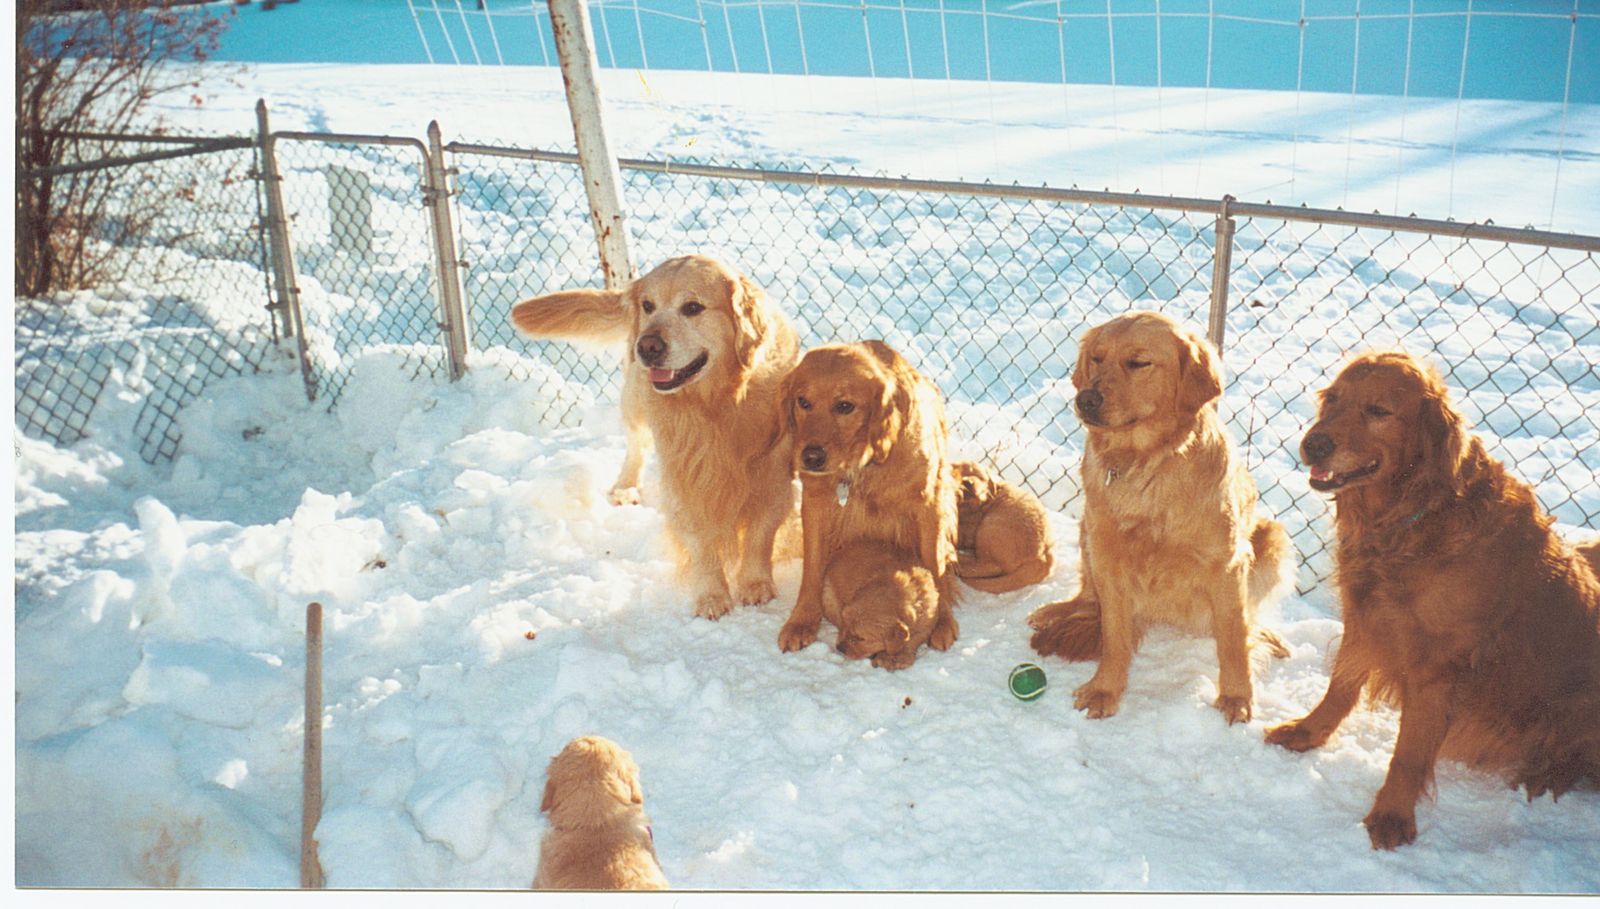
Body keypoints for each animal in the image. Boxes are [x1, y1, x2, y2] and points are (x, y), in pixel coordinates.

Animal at [511, 255, 800, 619]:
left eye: (693, 307)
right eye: (648, 305)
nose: (647, 346)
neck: (719, 403)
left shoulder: (774, 471)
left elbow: (761, 532)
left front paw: (755, 583)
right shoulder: (686, 473)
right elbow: (701, 539)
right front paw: (711, 595)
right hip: (636, 397)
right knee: (636, 442)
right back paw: (626, 487)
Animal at [774, 341, 961, 655]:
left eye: (845, 406)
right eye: (803, 402)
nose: (811, 457)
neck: (864, 463)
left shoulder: (930, 504)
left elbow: (935, 566)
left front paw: (942, 621)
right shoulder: (816, 503)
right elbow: (812, 570)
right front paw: (802, 621)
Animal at [822, 540, 940, 670]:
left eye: (861, 638)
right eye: (845, 625)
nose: (839, 648)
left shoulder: (928, 623)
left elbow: (913, 640)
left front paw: (899, 657)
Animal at [1027, 311, 1292, 724]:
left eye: (1139, 362)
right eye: (1097, 358)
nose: (1085, 399)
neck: (1144, 463)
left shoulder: (1228, 564)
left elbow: (1233, 638)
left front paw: (1236, 696)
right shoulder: (1109, 557)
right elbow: (1114, 637)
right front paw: (1105, 689)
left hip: (1272, 540)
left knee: (1246, 619)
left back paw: (1264, 635)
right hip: (1089, 533)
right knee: (1088, 596)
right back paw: (1059, 609)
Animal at [1265, 351, 1600, 850]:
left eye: (1379, 411)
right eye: (1334, 400)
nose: (1314, 444)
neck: (1408, 518)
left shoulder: (1437, 665)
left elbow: (1408, 753)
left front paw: (1391, 816)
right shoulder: (1364, 616)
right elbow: (1340, 689)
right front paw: (1308, 733)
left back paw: (1541, 778)